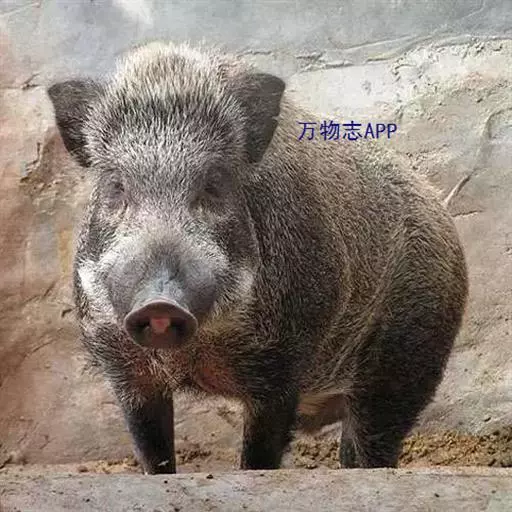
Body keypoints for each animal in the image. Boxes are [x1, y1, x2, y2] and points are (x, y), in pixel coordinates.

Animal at [47, 41, 468, 474]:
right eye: (116, 186)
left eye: (214, 184)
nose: (159, 302)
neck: (198, 350)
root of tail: (440, 206)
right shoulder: (125, 366)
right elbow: (153, 453)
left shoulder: (282, 362)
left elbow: (259, 457)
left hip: (410, 355)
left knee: (373, 442)